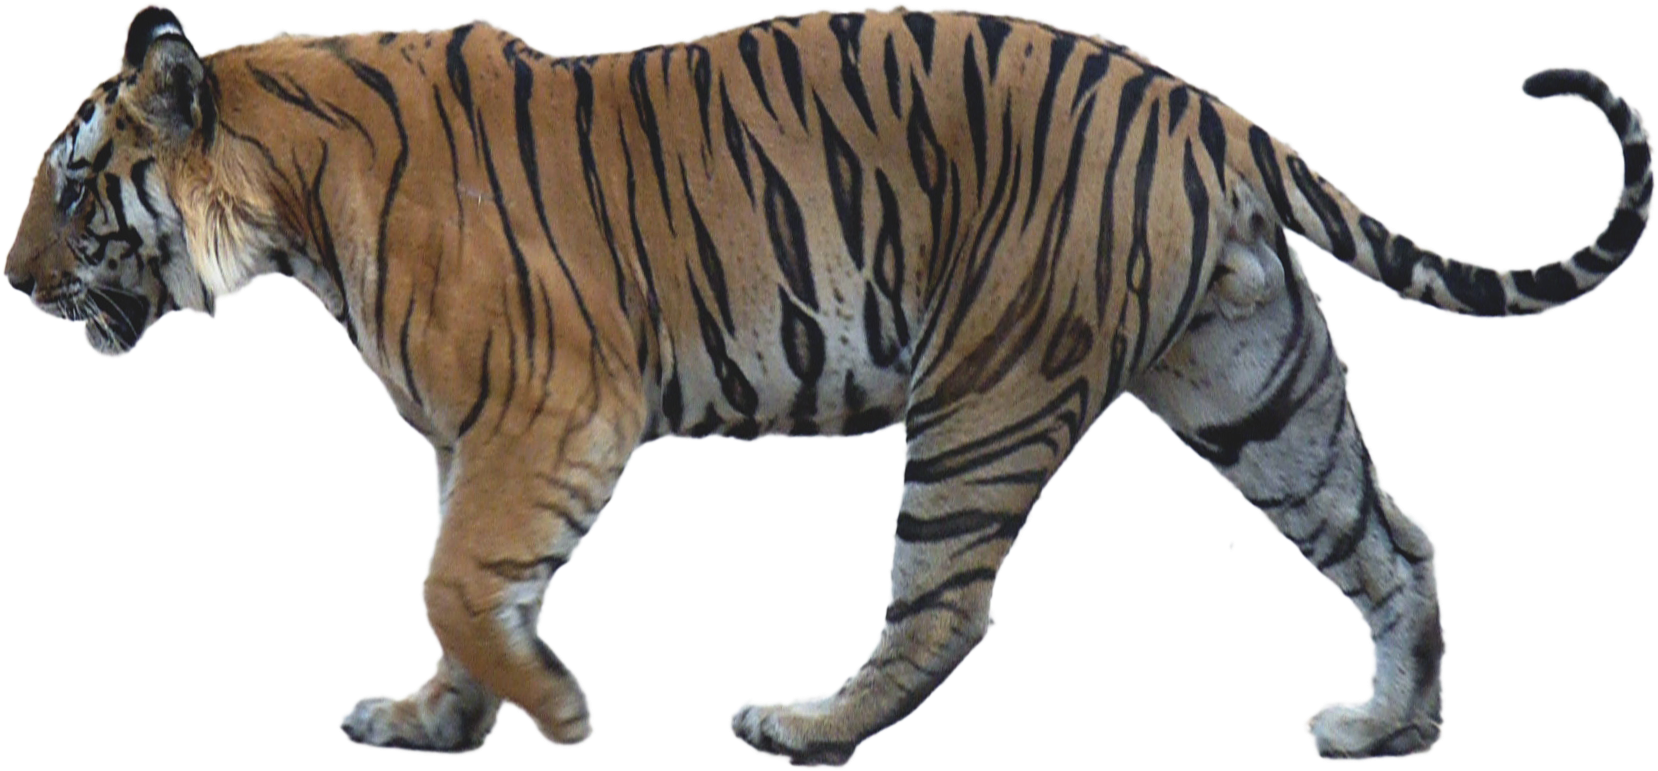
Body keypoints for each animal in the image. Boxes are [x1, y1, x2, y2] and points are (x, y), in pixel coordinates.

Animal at [4, 2, 1650, 766]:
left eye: (75, 189)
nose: (12, 281)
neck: (291, 190)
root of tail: (1200, 104)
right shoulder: (472, 438)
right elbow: (452, 588)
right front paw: (434, 722)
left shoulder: (551, 413)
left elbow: (457, 580)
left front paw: (556, 711)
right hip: (1253, 383)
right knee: (1396, 539)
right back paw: (1389, 731)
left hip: (985, 396)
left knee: (943, 604)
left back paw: (798, 726)